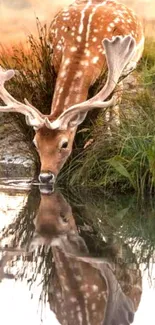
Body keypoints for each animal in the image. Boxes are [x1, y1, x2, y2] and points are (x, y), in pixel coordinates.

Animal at [0, 0, 144, 182]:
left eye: (64, 144)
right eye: (35, 143)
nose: (45, 177)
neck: (81, 48)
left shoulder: (113, 74)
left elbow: (109, 108)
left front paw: (110, 142)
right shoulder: (54, 61)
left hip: (127, 69)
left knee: (115, 104)